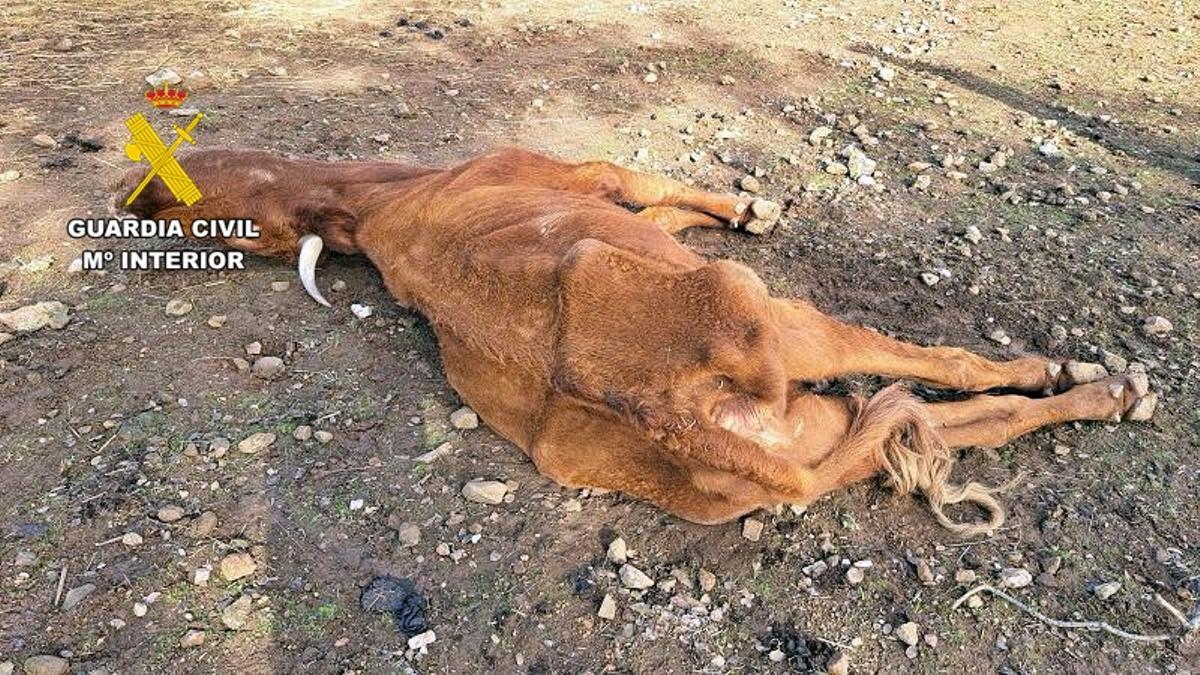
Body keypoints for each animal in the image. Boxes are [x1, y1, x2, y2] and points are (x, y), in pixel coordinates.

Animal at [118, 147, 1158, 535]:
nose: (132, 205)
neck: (365, 208)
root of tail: (665, 413)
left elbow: (668, 204)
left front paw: (743, 204)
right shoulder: (591, 176)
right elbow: (650, 182)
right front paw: (749, 204)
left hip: (818, 433)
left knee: (955, 422)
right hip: (790, 326)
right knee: (947, 372)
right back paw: (1096, 379)